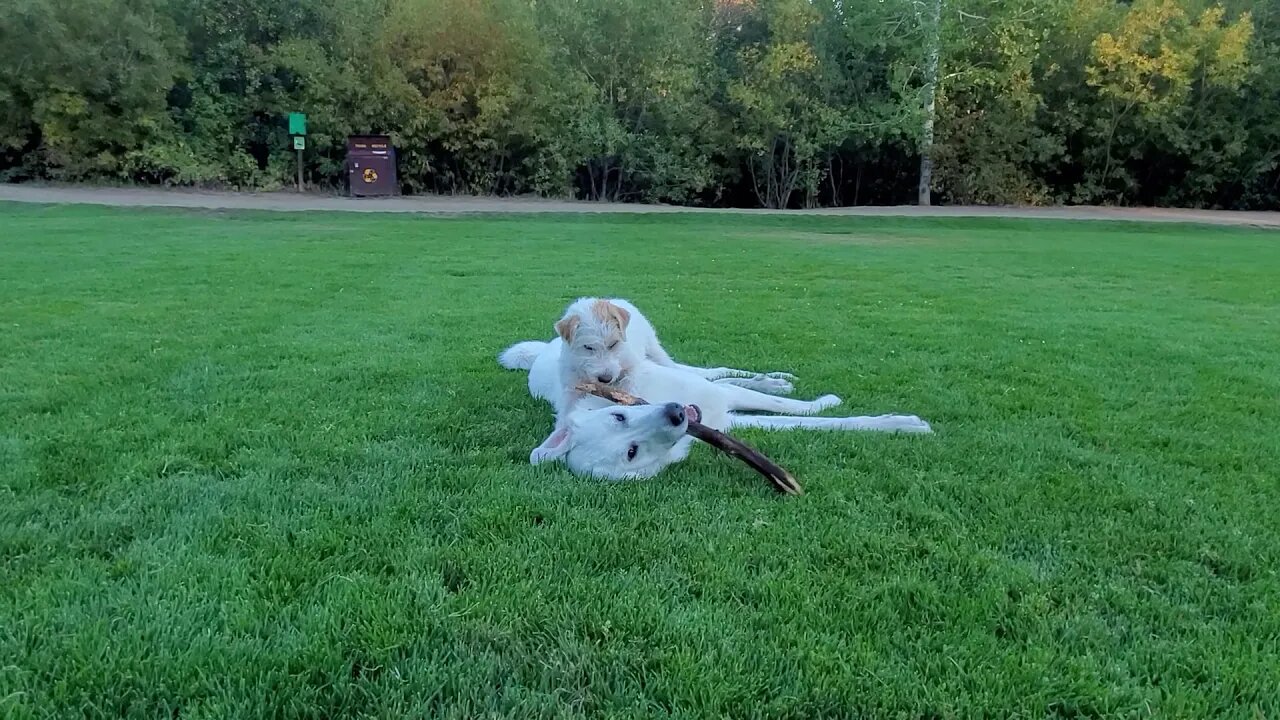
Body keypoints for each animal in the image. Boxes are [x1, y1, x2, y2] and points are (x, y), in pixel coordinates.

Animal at [499, 297, 931, 476]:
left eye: (619, 415)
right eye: (632, 453)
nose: (678, 414)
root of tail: (539, 356)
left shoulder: (720, 398)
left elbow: (796, 408)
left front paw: (821, 399)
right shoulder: (729, 420)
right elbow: (816, 423)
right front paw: (901, 424)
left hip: (663, 356)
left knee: (718, 371)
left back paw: (778, 378)